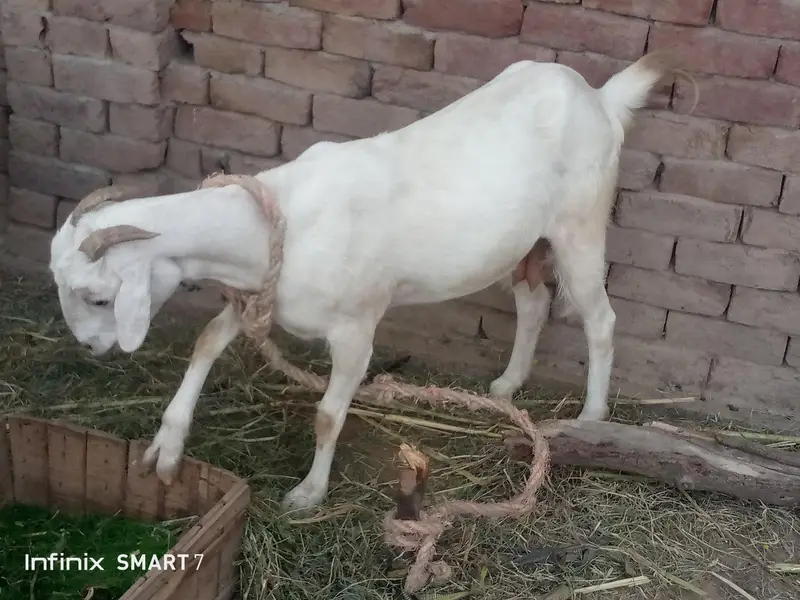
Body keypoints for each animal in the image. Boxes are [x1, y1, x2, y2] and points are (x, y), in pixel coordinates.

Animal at [50, 52, 672, 512]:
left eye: (99, 297)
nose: (90, 346)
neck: (286, 221)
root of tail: (600, 98)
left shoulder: (355, 328)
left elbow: (328, 413)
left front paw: (308, 493)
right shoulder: (256, 295)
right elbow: (205, 343)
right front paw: (166, 447)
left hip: (580, 227)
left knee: (600, 318)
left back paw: (591, 418)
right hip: (526, 243)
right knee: (534, 301)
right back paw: (506, 385)